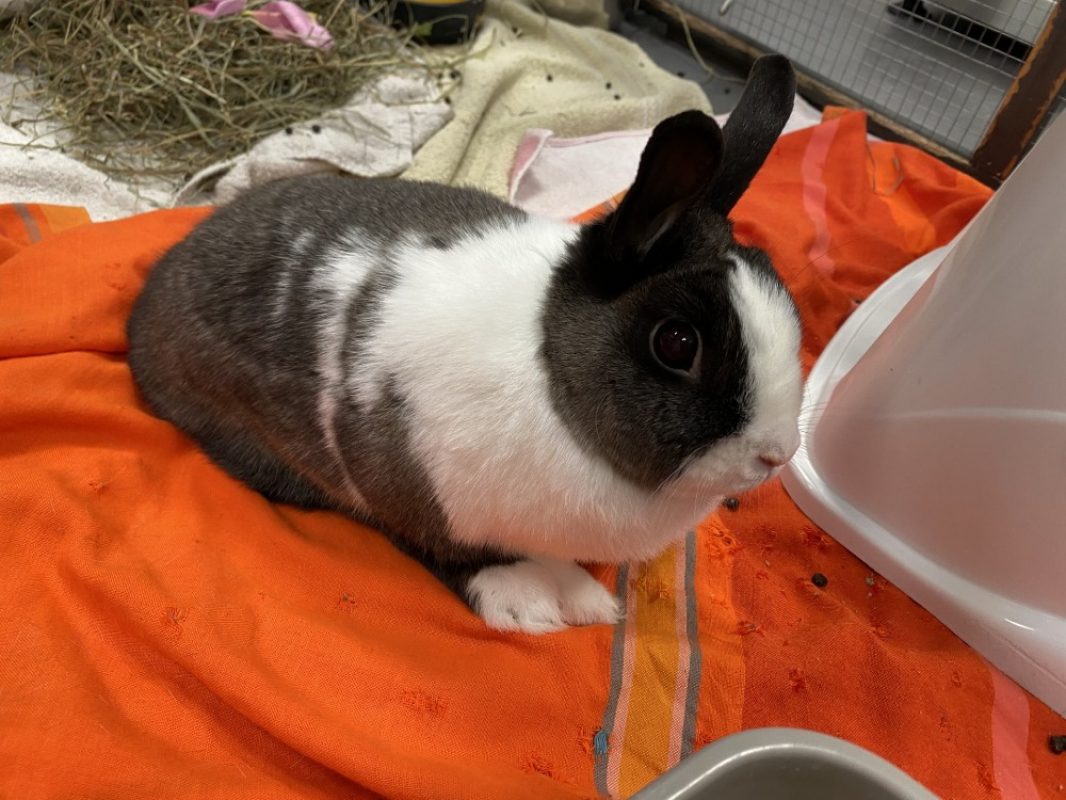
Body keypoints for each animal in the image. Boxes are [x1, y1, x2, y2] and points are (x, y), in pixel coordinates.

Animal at [127, 55, 802, 634]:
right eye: (677, 343)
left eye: (783, 294)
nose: (776, 455)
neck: (548, 371)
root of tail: (147, 305)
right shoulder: (407, 490)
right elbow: (447, 548)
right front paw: (531, 601)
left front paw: (586, 600)